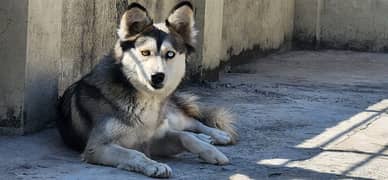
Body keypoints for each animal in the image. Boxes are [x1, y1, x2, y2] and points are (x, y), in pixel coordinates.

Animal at [56, 1, 235, 178]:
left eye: (170, 54)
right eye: (145, 52)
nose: (157, 76)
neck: (145, 100)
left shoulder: (154, 140)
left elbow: (184, 137)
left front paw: (212, 152)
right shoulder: (98, 147)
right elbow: (134, 154)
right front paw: (155, 166)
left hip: (169, 117)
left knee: (190, 122)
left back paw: (215, 135)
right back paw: (207, 137)